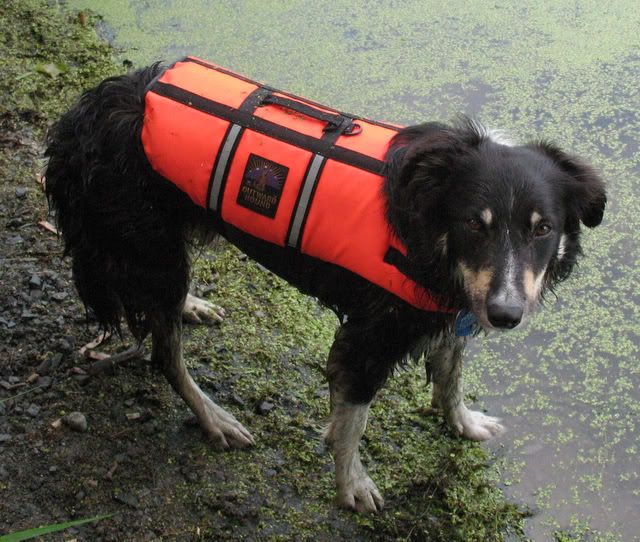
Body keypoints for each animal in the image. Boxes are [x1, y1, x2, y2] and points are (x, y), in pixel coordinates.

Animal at [43, 61, 604, 516]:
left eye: (542, 229)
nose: (506, 314)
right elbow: (354, 420)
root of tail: (88, 109)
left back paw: (191, 306)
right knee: (165, 355)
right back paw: (213, 417)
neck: (428, 223)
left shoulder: (450, 312)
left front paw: (463, 423)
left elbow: (450, 380)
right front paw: (351, 484)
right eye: (474, 223)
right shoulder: (371, 336)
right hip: (150, 246)